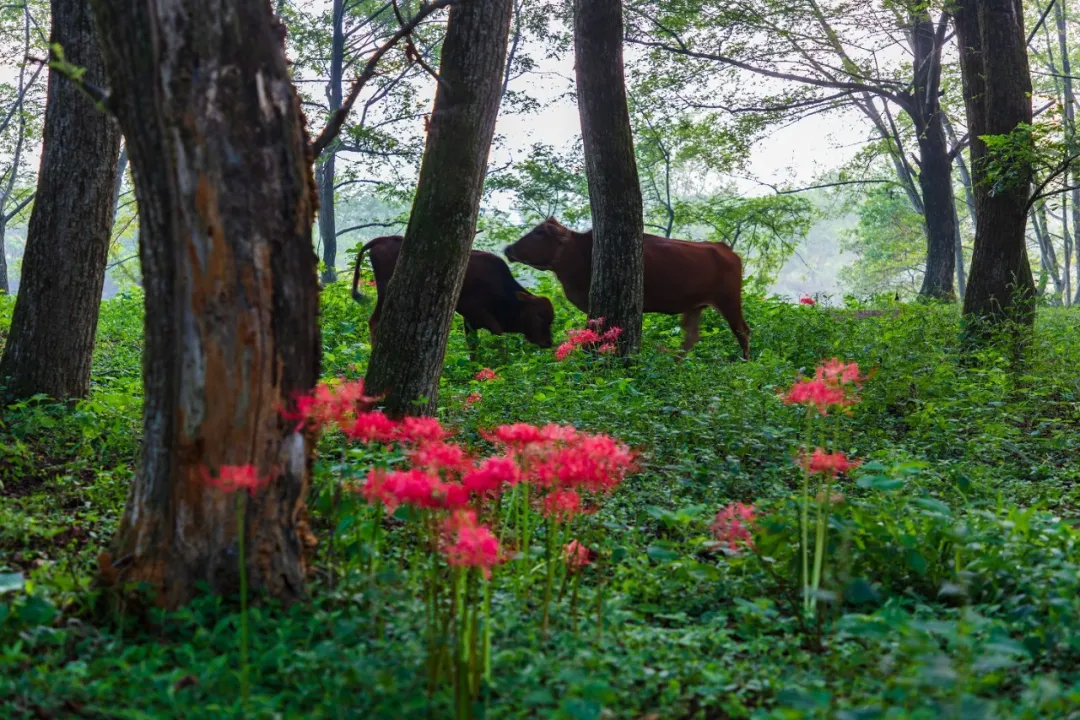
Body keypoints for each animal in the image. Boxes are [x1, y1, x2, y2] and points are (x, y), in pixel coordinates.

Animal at [352, 236, 557, 354]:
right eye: (539, 315)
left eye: (551, 319)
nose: (547, 342)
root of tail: (382, 240)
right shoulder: (474, 311)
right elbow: (497, 334)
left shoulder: (470, 321)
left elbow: (474, 346)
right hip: (386, 292)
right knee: (374, 322)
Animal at [505, 215, 751, 358]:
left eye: (539, 232)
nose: (508, 248)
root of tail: (725, 249)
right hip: (694, 306)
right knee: (691, 337)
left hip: (729, 300)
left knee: (742, 331)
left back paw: (744, 362)